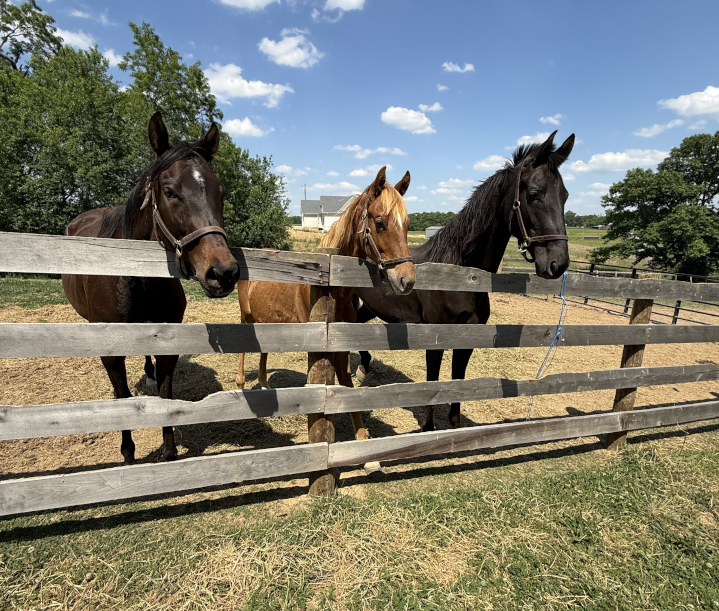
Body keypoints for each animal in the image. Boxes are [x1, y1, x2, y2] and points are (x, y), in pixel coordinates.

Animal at [62, 112, 241, 464]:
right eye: (170, 191)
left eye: (221, 191)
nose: (223, 272)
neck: (135, 277)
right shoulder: (111, 351)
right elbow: (122, 397)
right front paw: (128, 453)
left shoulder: (168, 339)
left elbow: (166, 393)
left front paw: (169, 451)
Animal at [235, 166, 415, 448]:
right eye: (379, 222)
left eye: (407, 224)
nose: (406, 280)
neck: (333, 289)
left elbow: (346, 383)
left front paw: (361, 439)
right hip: (247, 316)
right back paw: (241, 383)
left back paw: (264, 384)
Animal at [353, 131, 575, 431]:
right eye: (533, 194)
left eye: (565, 196)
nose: (557, 263)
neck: (460, 277)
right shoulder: (435, 338)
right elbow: (433, 380)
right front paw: (428, 427)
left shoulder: (467, 340)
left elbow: (458, 381)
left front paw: (455, 426)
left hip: (370, 306)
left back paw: (364, 365)